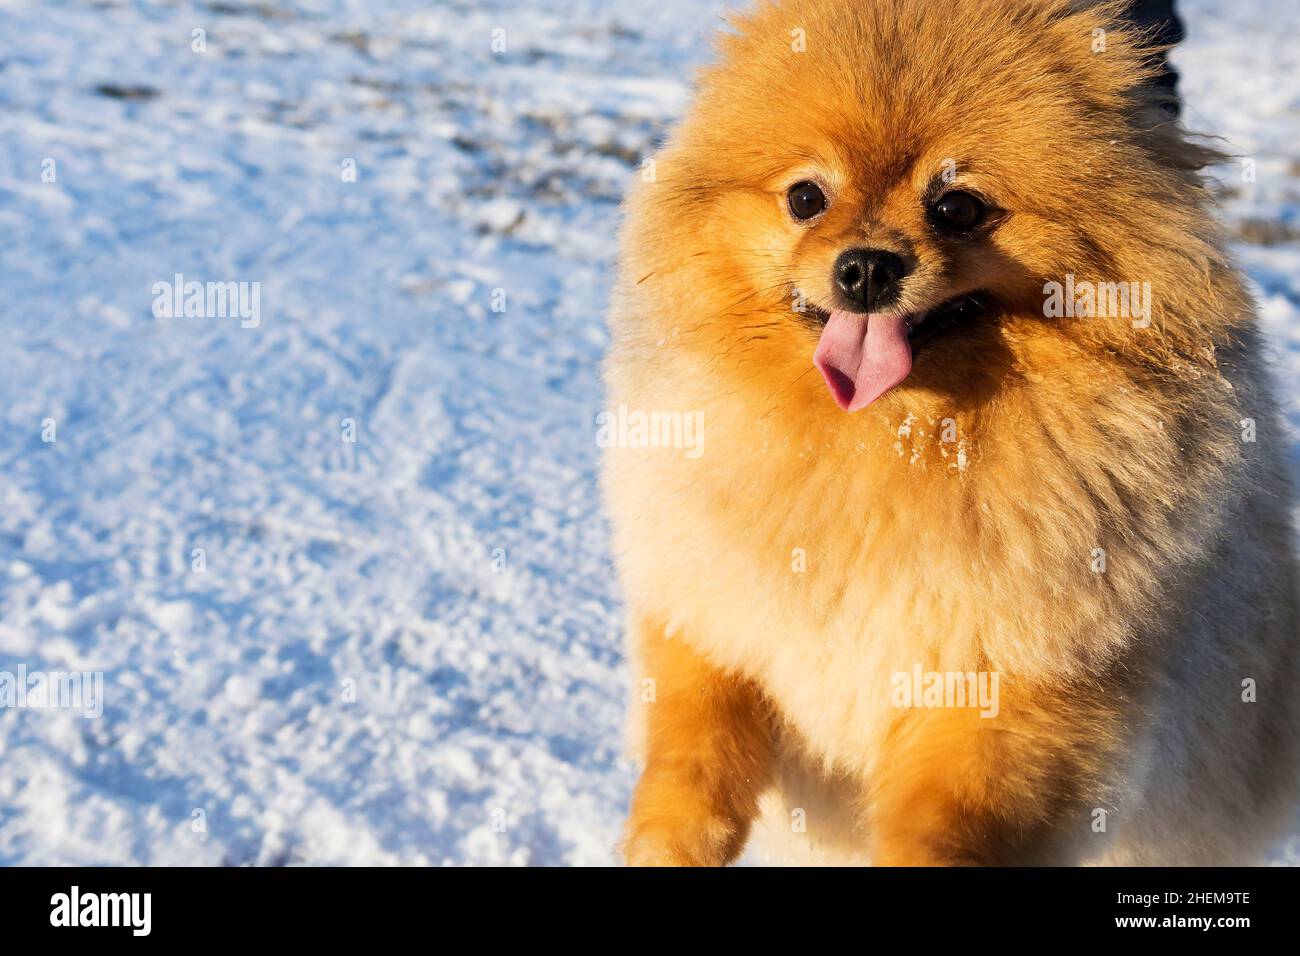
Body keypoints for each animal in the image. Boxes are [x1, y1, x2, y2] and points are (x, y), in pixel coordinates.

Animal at [603, 0, 1300, 868]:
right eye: (806, 198)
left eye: (958, 207)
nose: (866, 266)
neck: (891, 444)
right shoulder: (715, 614)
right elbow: (693, 754)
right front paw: (667, 843)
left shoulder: (1011, 699)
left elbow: (948, 827)